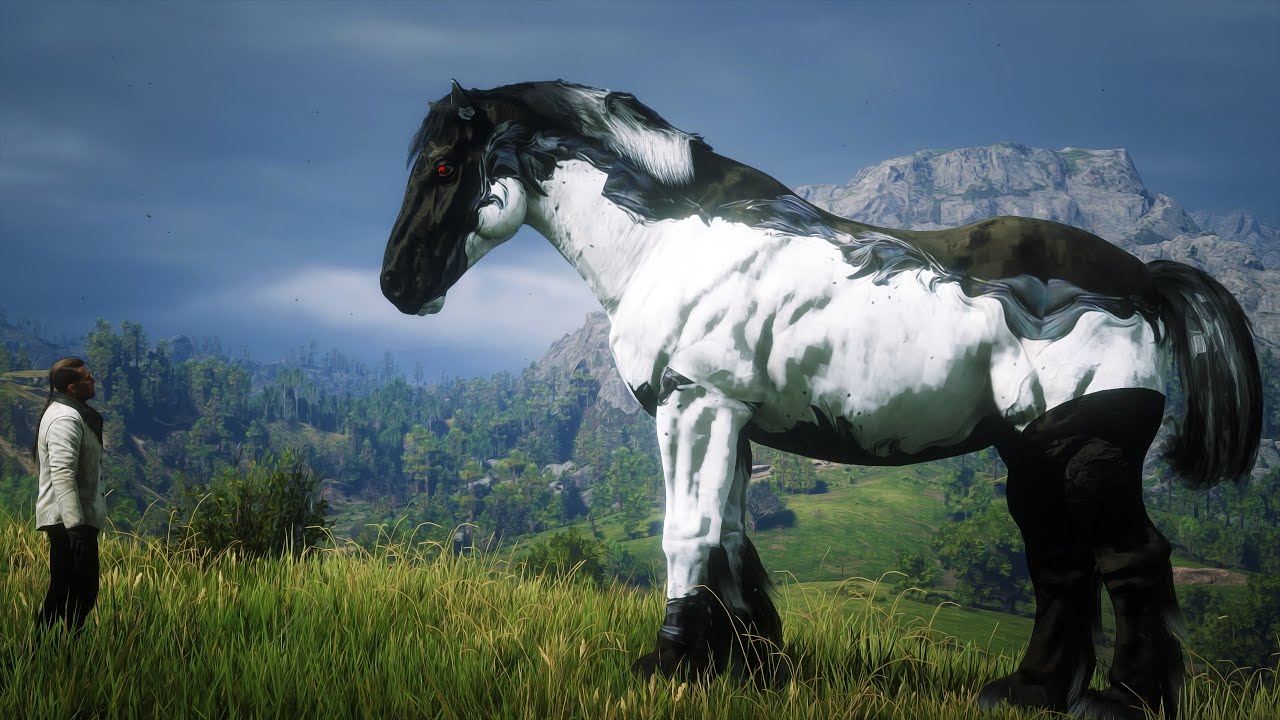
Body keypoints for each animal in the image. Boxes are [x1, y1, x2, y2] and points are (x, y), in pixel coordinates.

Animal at [379, 80, 1262, 720]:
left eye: (446, 168)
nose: (397, 287)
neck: (668, 242)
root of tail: (1142, 278)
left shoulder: (694, 405)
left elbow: (688, 536)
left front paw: (669, 666)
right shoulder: (730, 419)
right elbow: (732, 542)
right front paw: (751, 667)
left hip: (1087, 450)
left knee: (1132, 559)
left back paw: (1125, 700)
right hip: (1032, 454)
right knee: (1060, 566)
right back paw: (1030, 694)